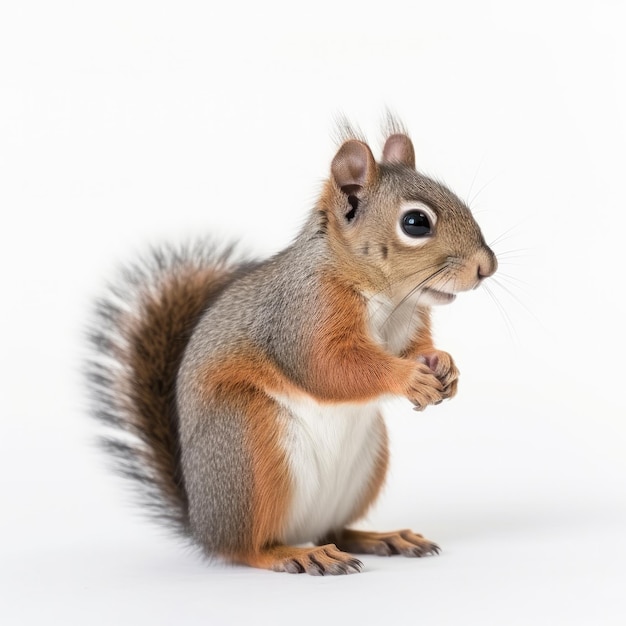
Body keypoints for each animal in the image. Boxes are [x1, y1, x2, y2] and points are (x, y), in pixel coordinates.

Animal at [89, 122, 498, 576]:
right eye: (415, 222)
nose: (487, 267)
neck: (389, 299)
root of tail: (202, 526)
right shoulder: (303, 316)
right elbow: (329, 367)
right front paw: (409, 378)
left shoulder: (408, 324)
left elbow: (415, 349)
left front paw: (444, 365)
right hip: (247, 448)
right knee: (248, 548)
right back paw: (295, 554)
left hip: (365, 465)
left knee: (335, 530)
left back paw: (382, 538)